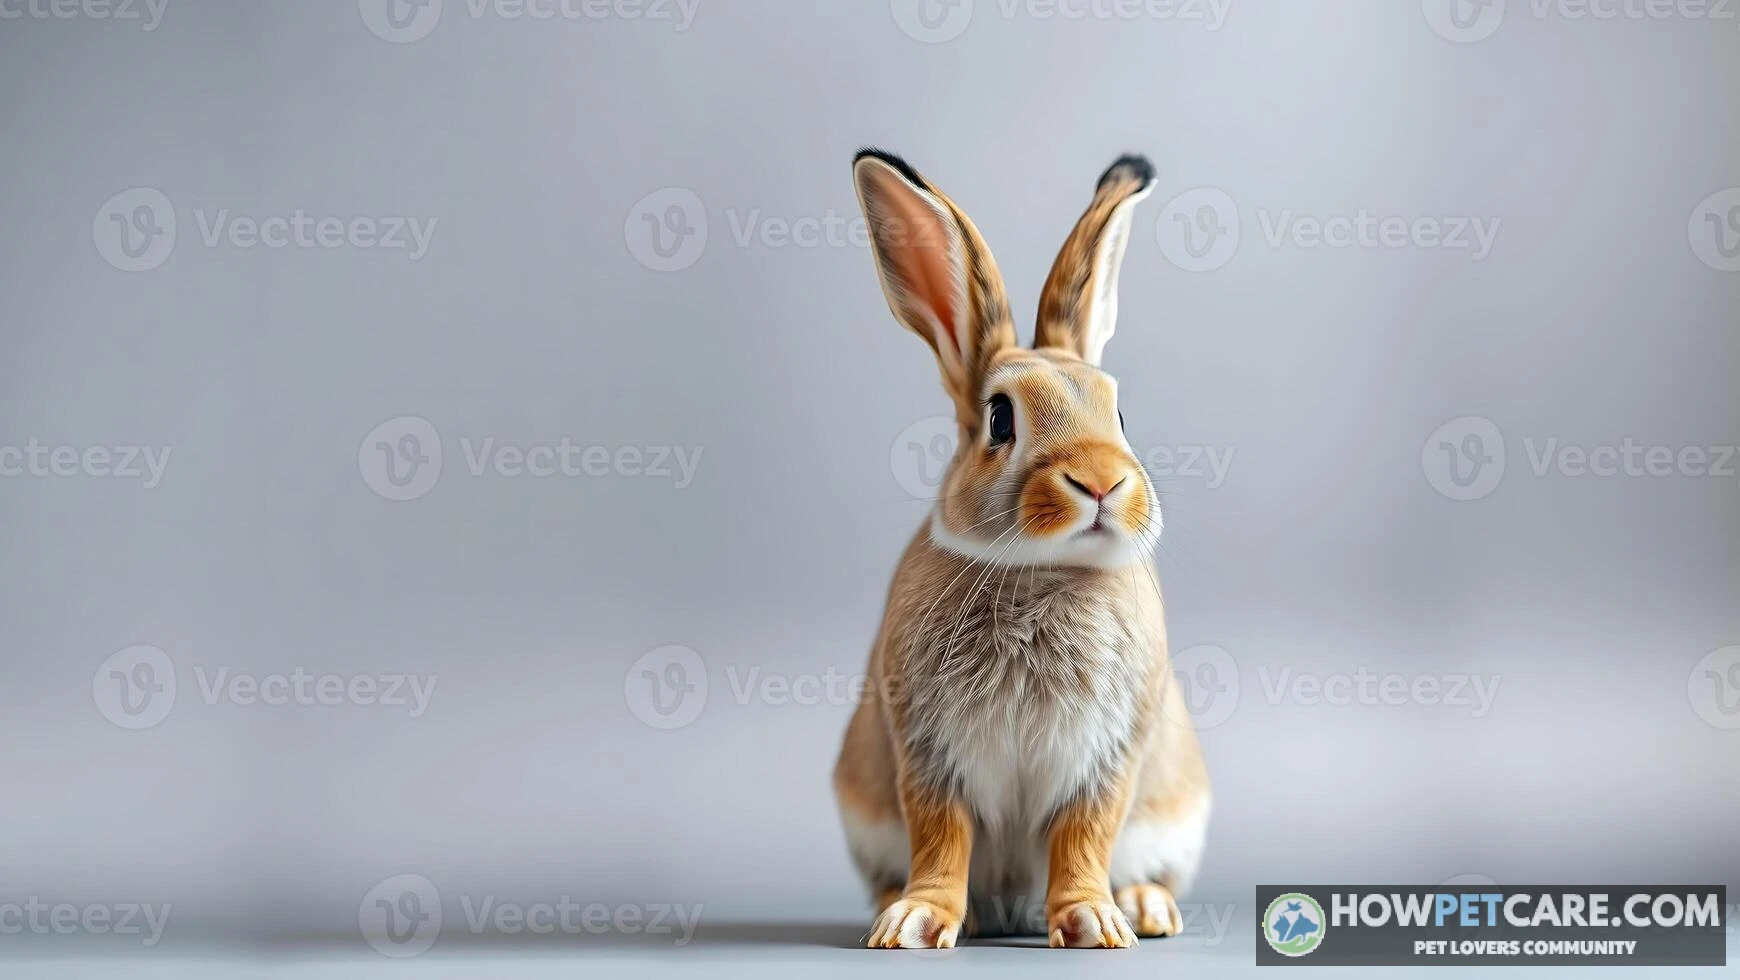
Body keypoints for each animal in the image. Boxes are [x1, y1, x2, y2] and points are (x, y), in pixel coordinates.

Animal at [833, 149, 1210, 950]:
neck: (1044, 569)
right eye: (1000, 419)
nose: (1101, 481)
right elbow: (942, 834)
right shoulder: (929, 752)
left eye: (1121, 413)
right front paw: (918, 923)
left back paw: (1144, 907)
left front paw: (1093, 922)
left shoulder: (1107, 757)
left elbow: (1083, 834)